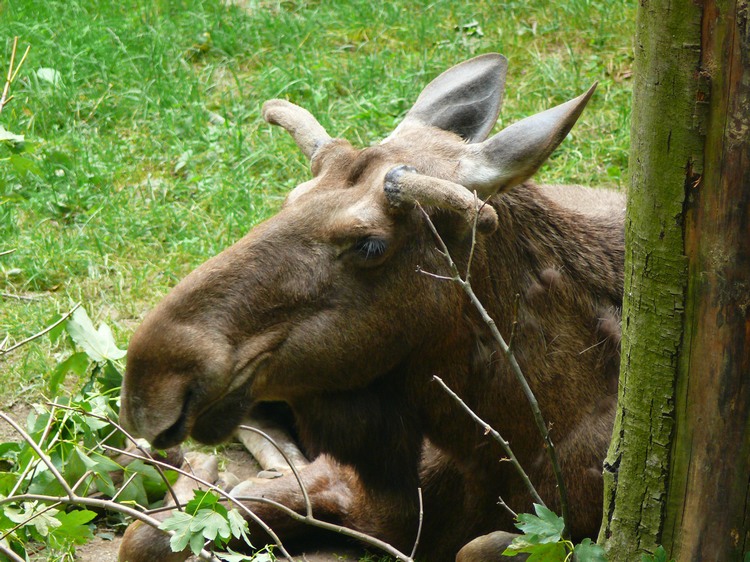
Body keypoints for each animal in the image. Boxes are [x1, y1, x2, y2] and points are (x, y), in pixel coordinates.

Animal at [117, 53, 624, 560]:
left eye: (369, 244)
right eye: (290, 199)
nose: (151, 384)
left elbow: (479, 545)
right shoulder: (351, 484)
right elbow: (146, 538)